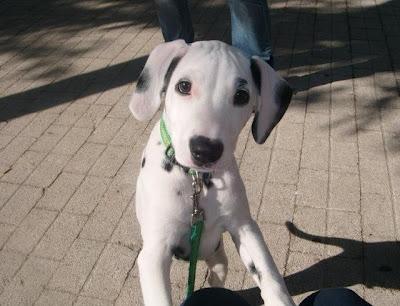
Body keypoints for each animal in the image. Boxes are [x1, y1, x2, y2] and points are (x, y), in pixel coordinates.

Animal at [130, 40, 296, 306]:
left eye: (241, 96)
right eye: (183, 86)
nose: (205, 150)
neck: (197, 181)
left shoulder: (245, 227)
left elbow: (270, 276)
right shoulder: (154, 253)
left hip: (219, 259)